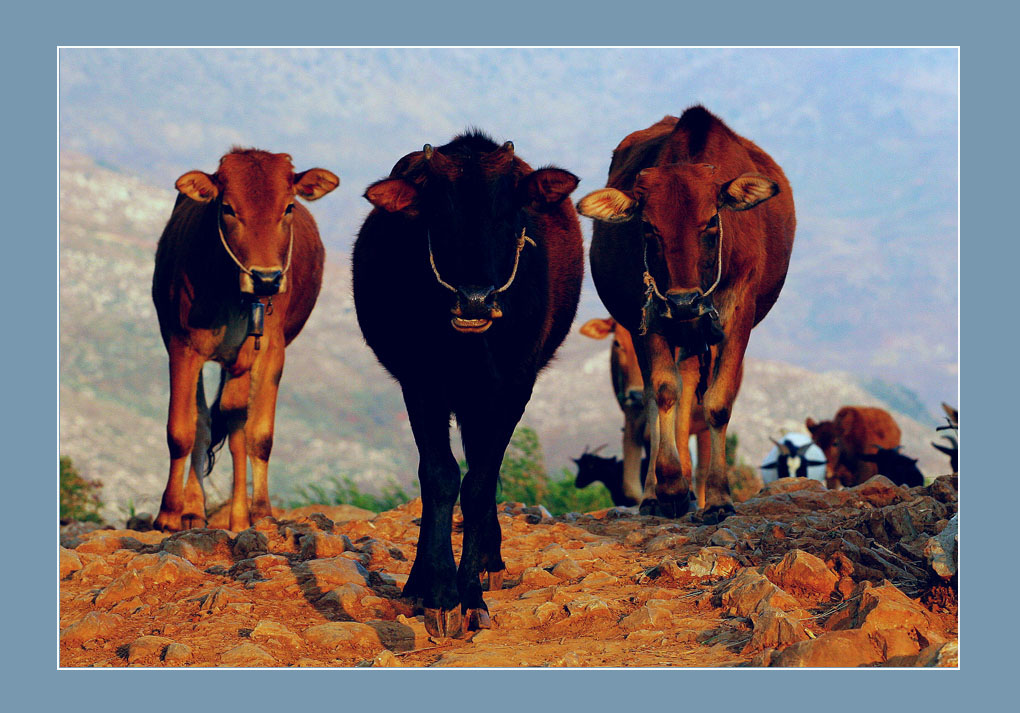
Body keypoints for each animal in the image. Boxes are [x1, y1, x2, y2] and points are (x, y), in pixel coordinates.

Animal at [149, 147, 338, 534]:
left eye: (288, 207)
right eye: (228, 208)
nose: (266, 278)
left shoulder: (270, 352)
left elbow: (258, 436)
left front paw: (260, 513)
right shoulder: (181, 345)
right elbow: (182, 430)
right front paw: (169, 514)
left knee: (237, 428)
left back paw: (240, 516)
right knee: (206, 423)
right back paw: (193, 511)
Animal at [352, 131, 583, 640]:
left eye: (508, 214)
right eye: (439, 217)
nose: (474, 301)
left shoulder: (513, 388)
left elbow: (479, 483)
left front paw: (471, 596)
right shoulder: (421, 385)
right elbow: (439, 477)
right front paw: (439, 595)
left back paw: (488, 562)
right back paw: (420, 582)